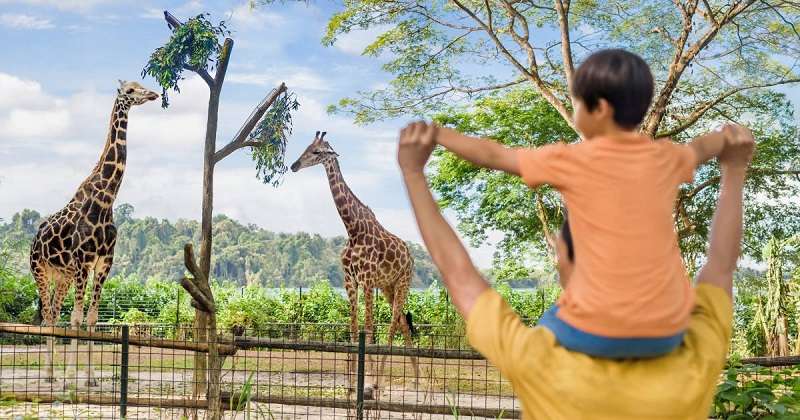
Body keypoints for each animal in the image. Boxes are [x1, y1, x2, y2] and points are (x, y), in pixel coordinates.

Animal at [30, 80, 158, 386]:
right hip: (40, 270)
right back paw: (49, 375)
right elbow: (76, 318)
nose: (153, 94)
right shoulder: (83, 262)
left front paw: (89, 378)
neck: (106, 201)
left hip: (62, 276)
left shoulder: (103, 264)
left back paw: (52, 373)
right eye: (131, 90)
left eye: (141, 85)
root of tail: (35, 239)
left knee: (54, 312)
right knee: (49, 316)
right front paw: (72, 376)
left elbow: (90, 318)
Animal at [290, 130, 422, 398]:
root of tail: (411, 256)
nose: (294, 165)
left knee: (392, 324)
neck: (353, 229)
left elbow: (369, 328)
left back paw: (382, 382)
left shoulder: (367, 280)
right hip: (388, 287)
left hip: (403, 282)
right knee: (403, 322)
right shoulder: (350, 281)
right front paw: (351, 385)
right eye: (306, 147)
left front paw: (369, 382)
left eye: (317, 152)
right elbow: (352, 328)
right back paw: (416, 380)